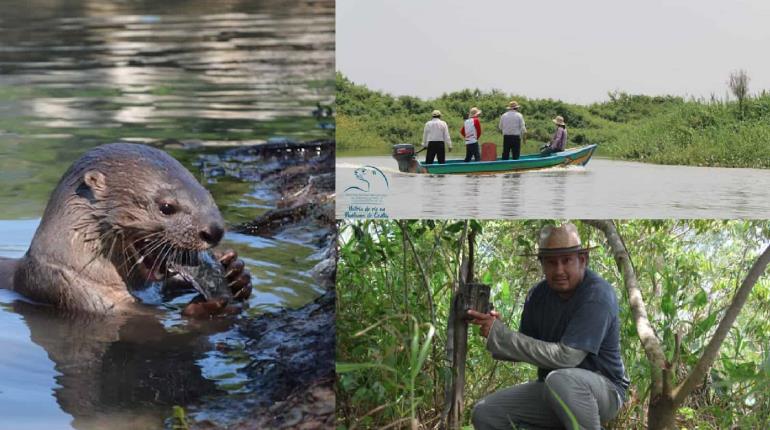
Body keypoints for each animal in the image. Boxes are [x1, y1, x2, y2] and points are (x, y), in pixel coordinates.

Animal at [0, 143, 250, 314]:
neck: (78, 268)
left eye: (208, 194)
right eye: (166, 207)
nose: (214, 230)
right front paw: (203, 308)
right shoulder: (69, 290)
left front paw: (235, 274)